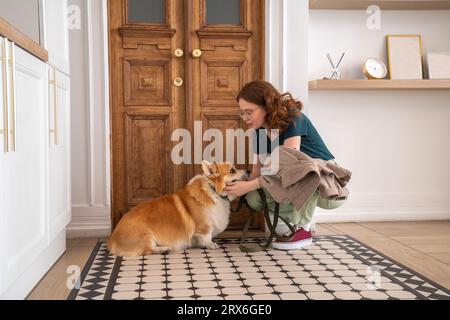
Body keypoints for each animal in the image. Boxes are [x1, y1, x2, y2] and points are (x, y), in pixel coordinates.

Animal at [107, 161, 251, 256]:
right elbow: (207, 236)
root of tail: (112, 240)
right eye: (232, 170)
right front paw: (211, 244)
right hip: (146, 235)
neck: (213, 190)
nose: (249, 170)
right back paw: (163, 249)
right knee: (147, 250)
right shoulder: (204, 227)